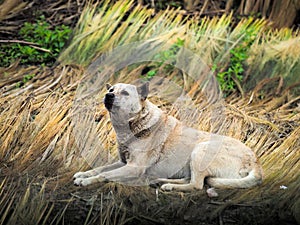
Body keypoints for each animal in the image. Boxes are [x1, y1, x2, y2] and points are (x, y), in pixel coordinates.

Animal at [73, 82, 262, 193]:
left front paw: (86, 181)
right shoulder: (123, 162)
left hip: (200, 150)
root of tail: (255, 162)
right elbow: (100, 169)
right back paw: (158, 181)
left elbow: (105, 174)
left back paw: (168, 185)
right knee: (190, 179)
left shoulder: (133, 167)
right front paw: (83, 174)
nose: (108, 95)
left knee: (197, 185)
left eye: (125, 93)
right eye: (111, 90)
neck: (133, 126)